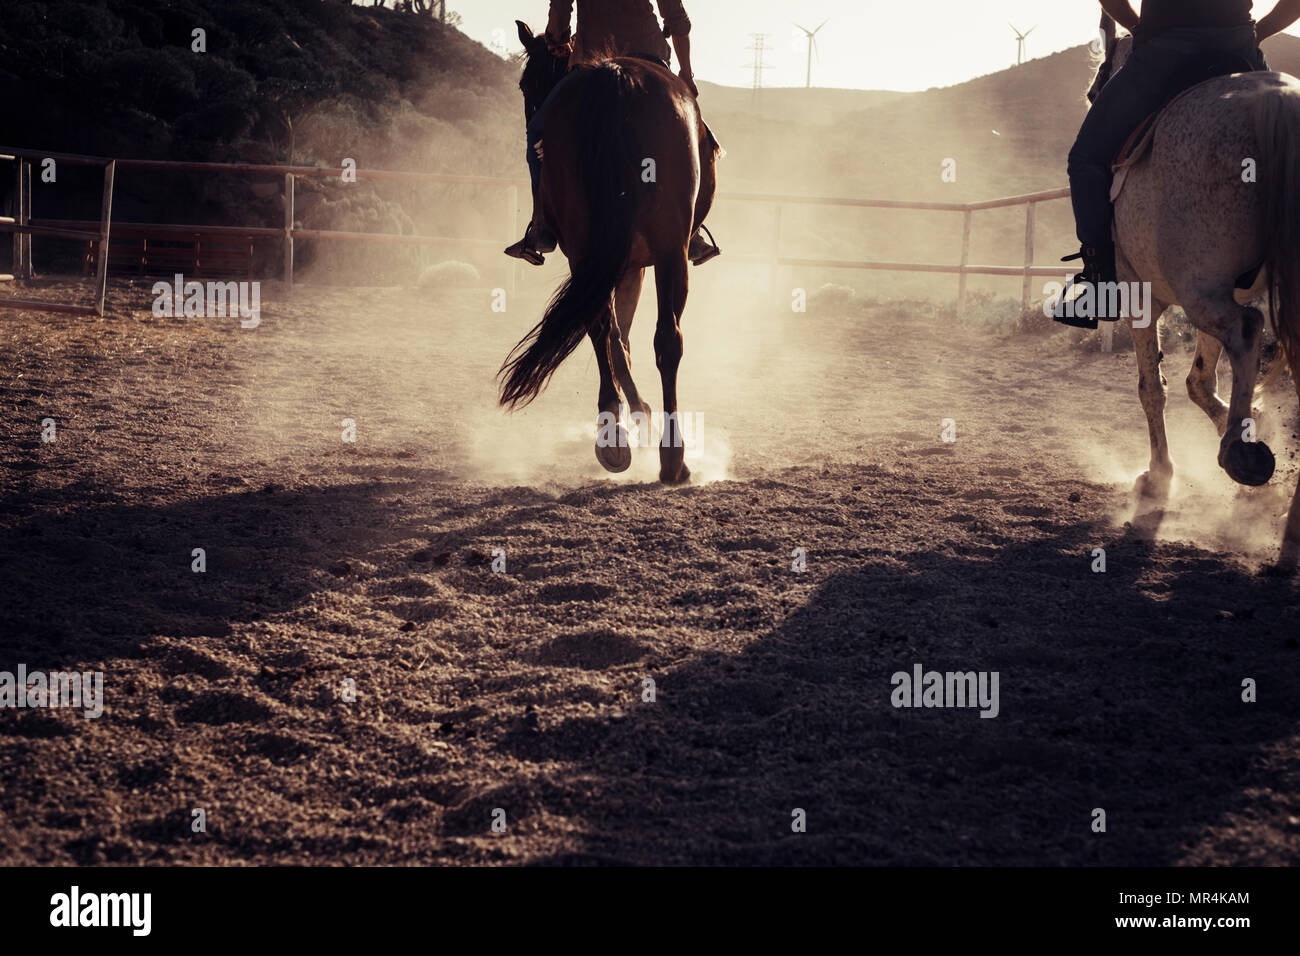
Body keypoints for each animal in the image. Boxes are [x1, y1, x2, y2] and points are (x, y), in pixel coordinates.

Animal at [499, 22, 722, 486]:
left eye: (526, 84)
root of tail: (617, 79)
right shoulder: (634, 264)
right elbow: (625, 335)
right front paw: (640, 413)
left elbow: (616, 335)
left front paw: (633, 413)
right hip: (668, 252)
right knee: (663, 339)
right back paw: (669, 457)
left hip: (593, 252)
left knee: (605, 330)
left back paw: (616, 439)